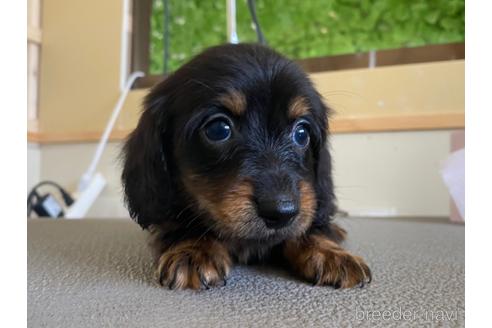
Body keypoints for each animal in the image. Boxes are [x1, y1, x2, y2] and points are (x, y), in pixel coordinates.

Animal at [121, 43, 370, 290]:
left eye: (301, 133)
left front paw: (331, 253)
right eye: (218, 129)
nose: (281, 212)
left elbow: (306, 228)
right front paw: (193, 249)